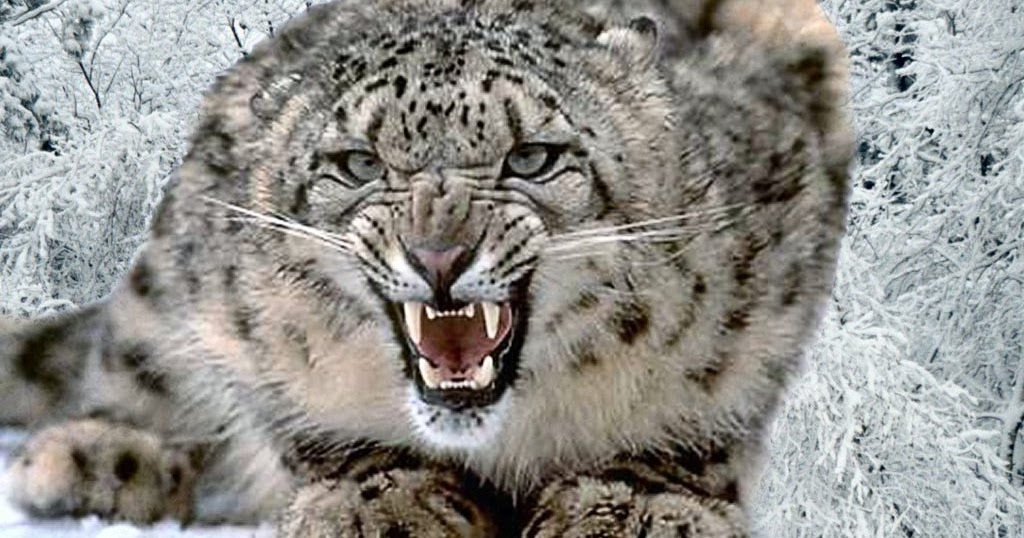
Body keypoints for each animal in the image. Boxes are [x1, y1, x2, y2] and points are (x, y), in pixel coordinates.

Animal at [0, 0, 853, 536]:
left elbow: (709, 407)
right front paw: (385, 506)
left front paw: (632, 509)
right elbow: (300, 417)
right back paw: (92, 459)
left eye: (533, 156)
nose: (438, 254)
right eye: (357, 163)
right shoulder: (241, 314)